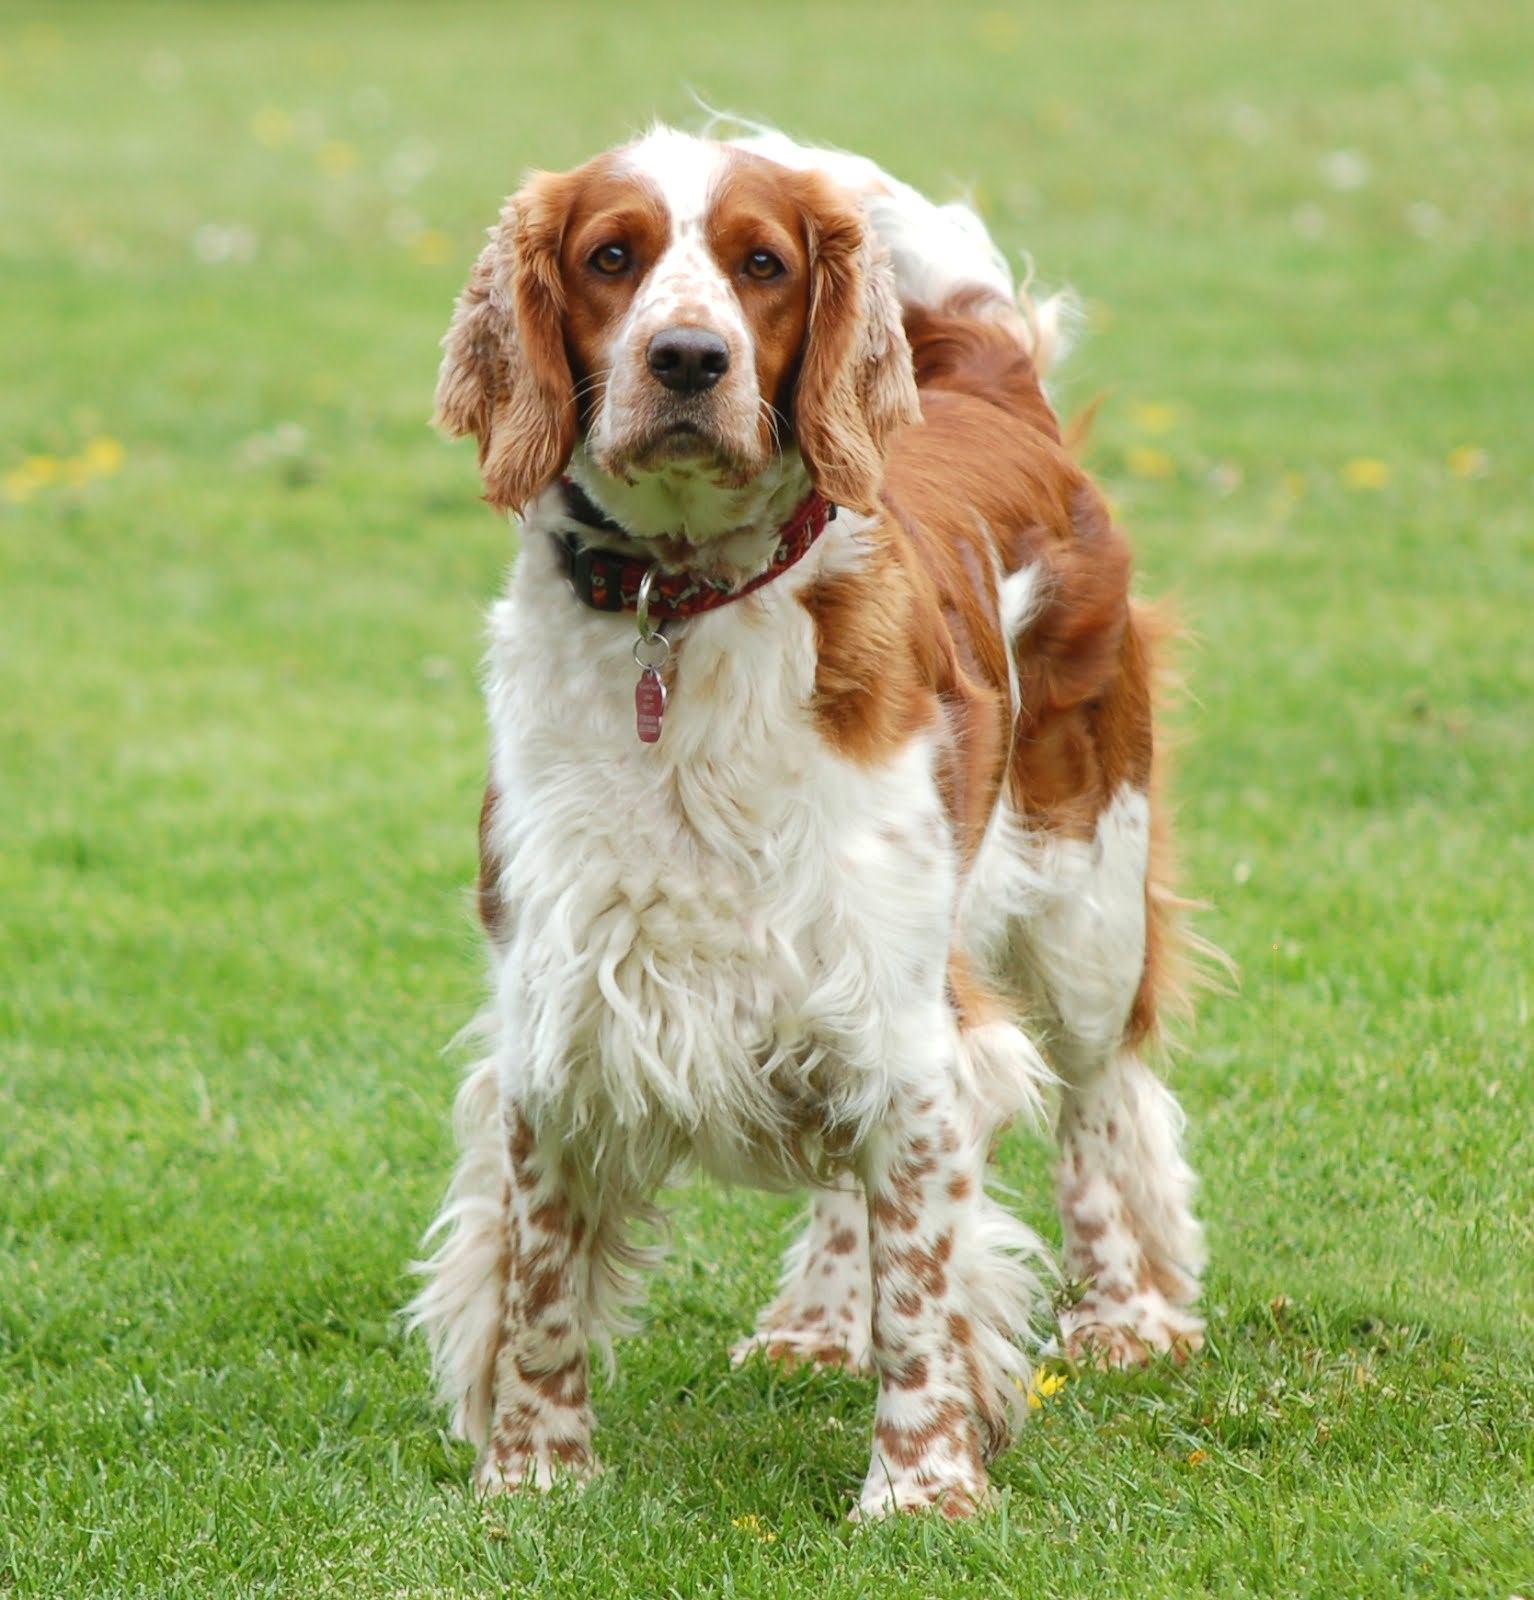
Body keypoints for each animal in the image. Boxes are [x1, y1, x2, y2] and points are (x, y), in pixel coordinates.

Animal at [409, 128, 1209, 1523]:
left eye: (763, 265)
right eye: (610, 256)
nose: (687, 358)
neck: (679, 612)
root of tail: (993, 381)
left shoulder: (908, 1009)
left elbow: (926, 1287)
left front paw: (924, 1491)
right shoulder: (561, 1010)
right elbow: (541, 1278)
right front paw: (533, 1474)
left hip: (1084, 897)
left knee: (1102, 1099)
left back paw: (1123, 1314)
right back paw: (819, 1321)